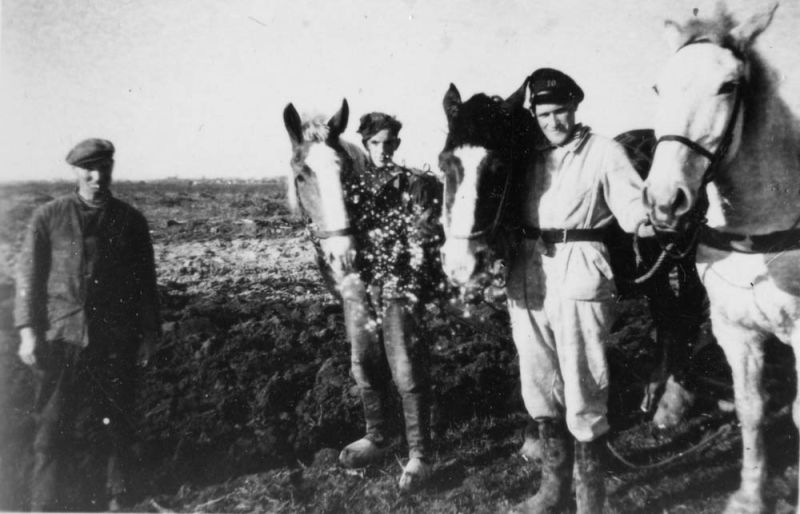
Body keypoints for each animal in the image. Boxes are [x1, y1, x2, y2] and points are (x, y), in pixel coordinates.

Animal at [643, 2, 800, 512]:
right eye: (659, 87)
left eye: (729, 85)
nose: (664, 202)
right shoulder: (735, 331)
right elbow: (751, 410)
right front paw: (751, 495)